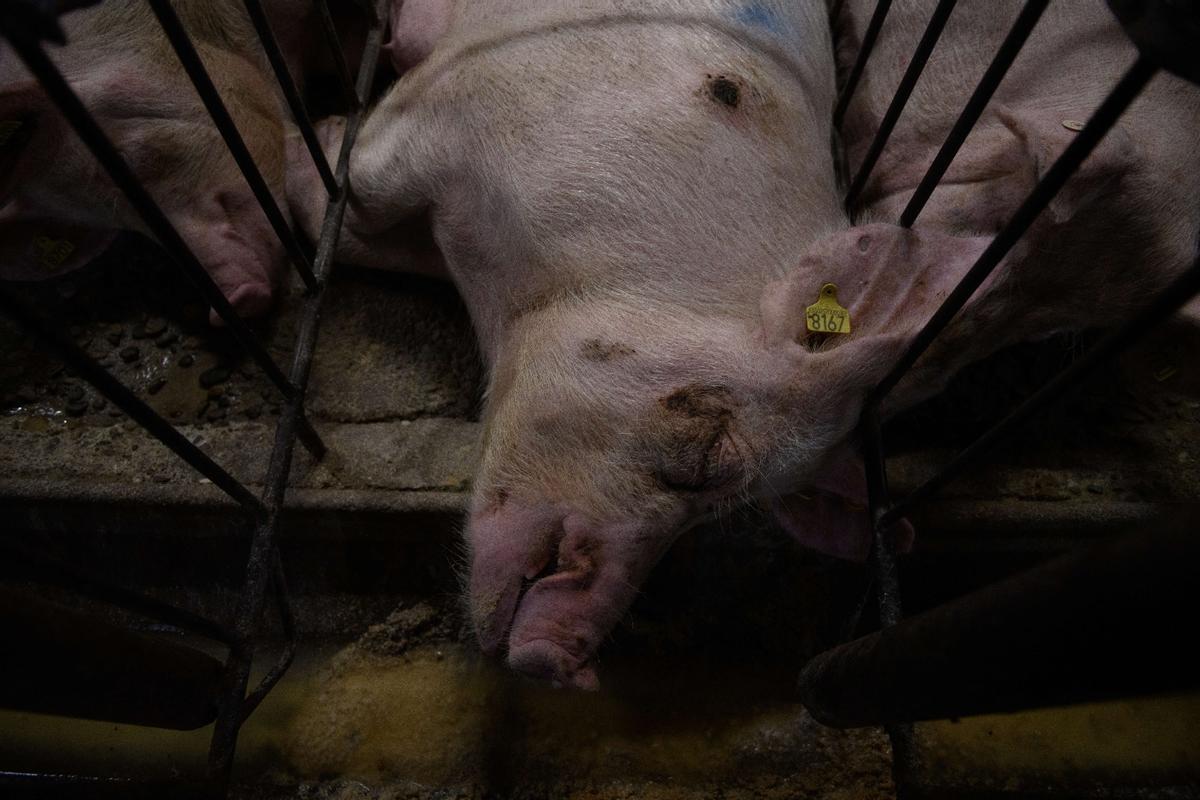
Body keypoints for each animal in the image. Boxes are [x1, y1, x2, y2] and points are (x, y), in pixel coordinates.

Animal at [286, 0, 891, 688]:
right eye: (704, 459)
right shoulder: (462, 98)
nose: (569, 661)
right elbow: (360, 187)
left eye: (724, 515)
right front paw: (312, 143)